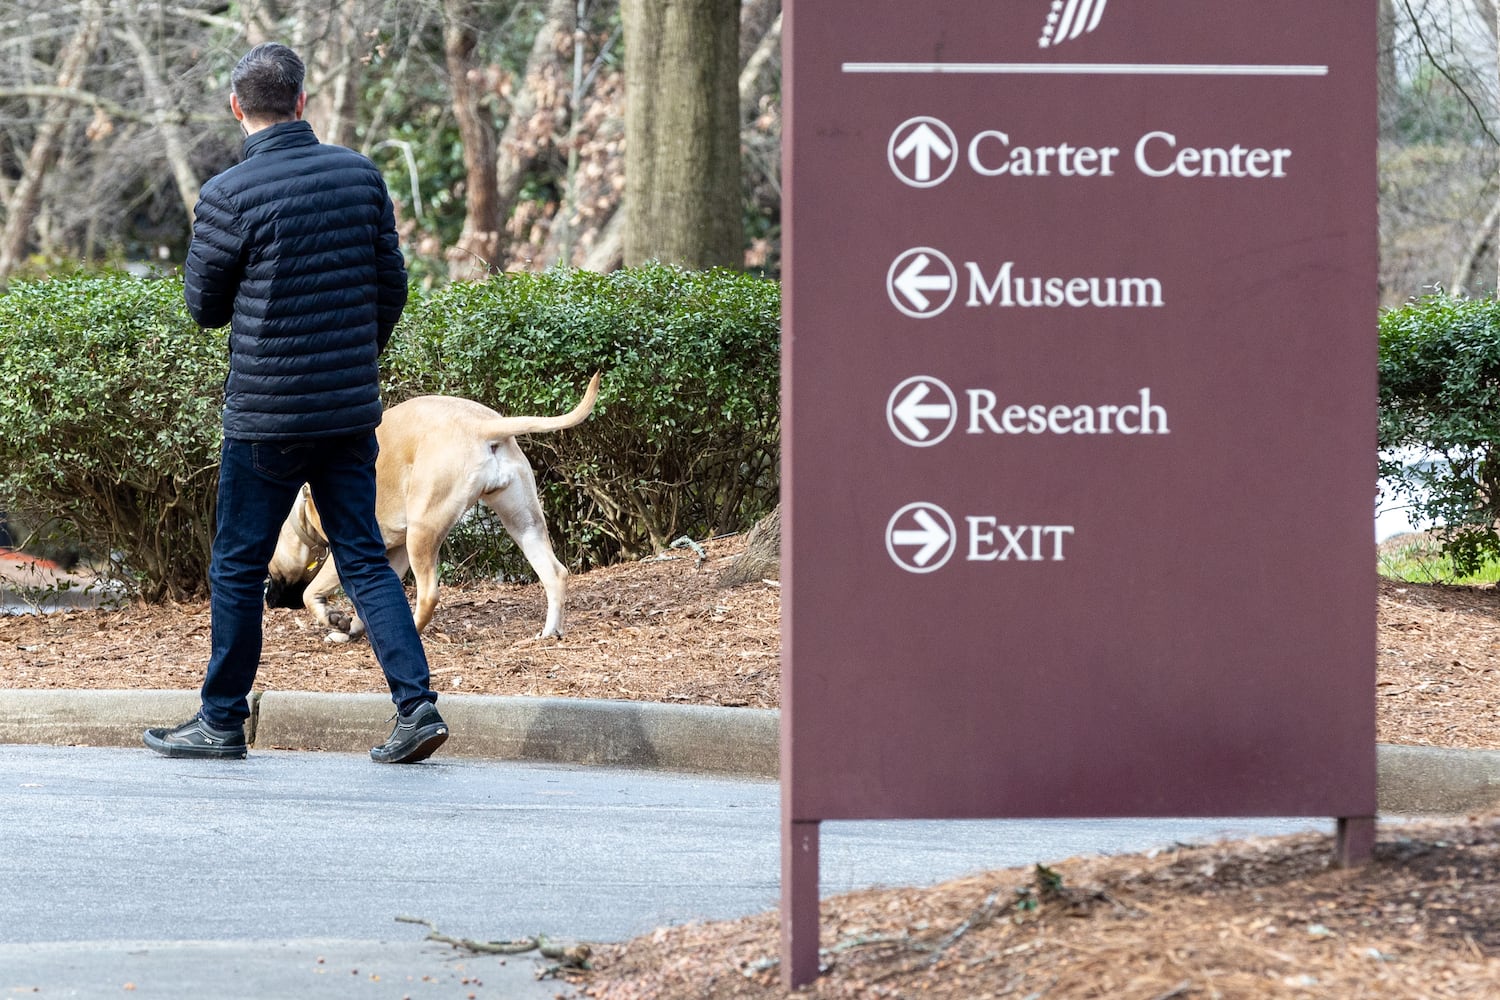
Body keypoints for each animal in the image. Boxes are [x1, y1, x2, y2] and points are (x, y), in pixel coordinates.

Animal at [267, 373, 600, 641]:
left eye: (269, 570)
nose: (270, 601)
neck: (302, 509)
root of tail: (482, 425)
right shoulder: (393, 552)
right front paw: (351, 630)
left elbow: (312, 592)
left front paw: (333, 619)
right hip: (523, 522)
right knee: (554, 573)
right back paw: (550, 631)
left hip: (424, 529)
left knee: (428, 594)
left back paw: (413, 629)